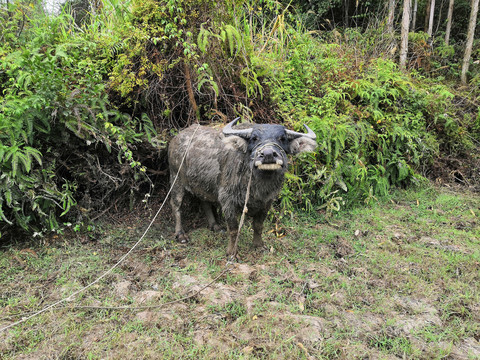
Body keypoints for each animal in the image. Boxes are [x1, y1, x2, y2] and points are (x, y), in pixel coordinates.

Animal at [167, 118, 316, 256]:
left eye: (282, 138)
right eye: (254, 138)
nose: (268, 154)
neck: (259, 185)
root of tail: (176, 138)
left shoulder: (267, 202)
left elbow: (258, 226)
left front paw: (259, 245)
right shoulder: (227, 201)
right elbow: (233, 230)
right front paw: (232, 252)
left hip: (203, 184)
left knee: (205, 202)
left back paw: (216, 226)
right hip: (176, 179)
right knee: (176, 205)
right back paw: (181, 235)